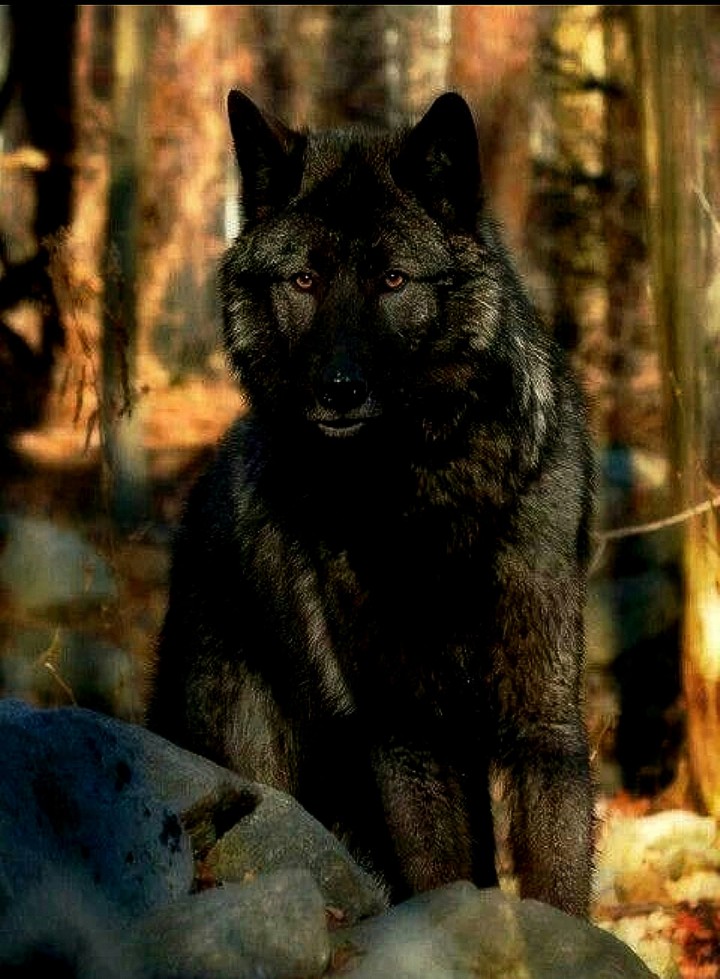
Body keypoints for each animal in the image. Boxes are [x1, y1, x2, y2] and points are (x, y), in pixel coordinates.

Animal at [146, 90, 596, 917]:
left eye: (392, 280)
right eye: (303, 281)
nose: (338, 391)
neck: (424, 496)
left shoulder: (542, 716)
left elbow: (555, 884)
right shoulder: (405, 728)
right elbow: (441, 876)